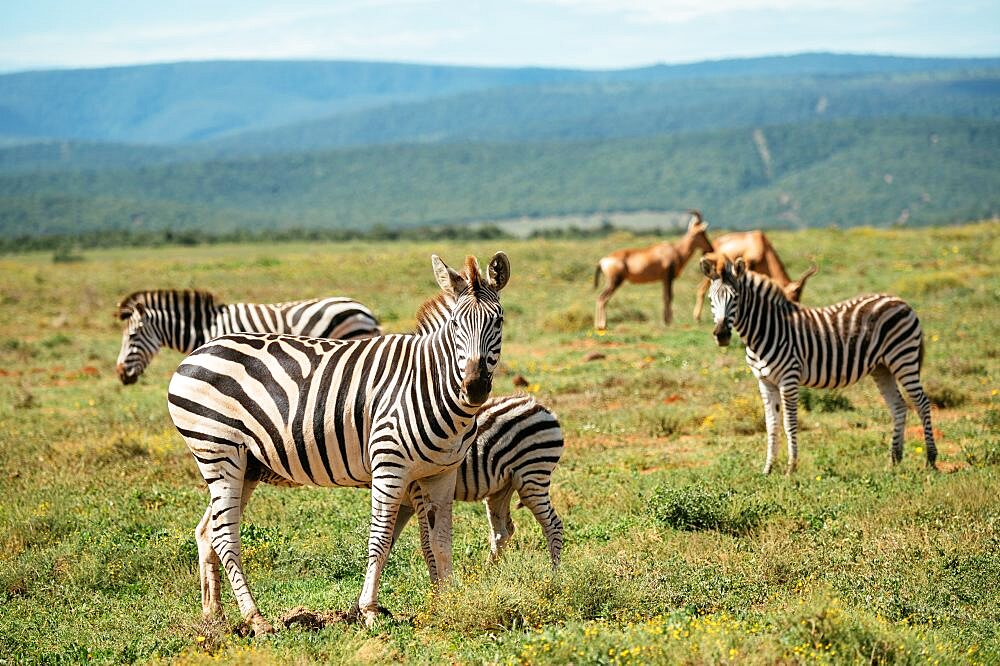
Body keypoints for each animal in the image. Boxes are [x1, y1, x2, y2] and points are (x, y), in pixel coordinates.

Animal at [168, 252, 508, 632]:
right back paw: (256, 619)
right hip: (217, 450)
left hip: (245, 466)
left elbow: (440, 541)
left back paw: (214, 616)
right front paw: (370, 610)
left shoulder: (440, 474)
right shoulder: (389, 466)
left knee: (207, 531)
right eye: (455, 325)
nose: (475, 387)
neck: (429, 383)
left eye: (498, 321)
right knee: (226, 535)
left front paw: (446, 604)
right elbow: (380, 538)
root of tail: (196, 353)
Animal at [704, 256, 936, 474]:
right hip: (882, 367)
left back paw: (931, 460)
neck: (764, 332)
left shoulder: (789, 378)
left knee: (922, 403)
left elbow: (789, 423)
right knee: (898, 406)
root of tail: (901, 301)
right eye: (710, 299)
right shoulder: (765, 381)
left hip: (903, 358)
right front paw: (768, 469)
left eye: (735, 298)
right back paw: (894, 461)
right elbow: (771, 424)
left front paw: (791, 468)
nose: (721, 335)